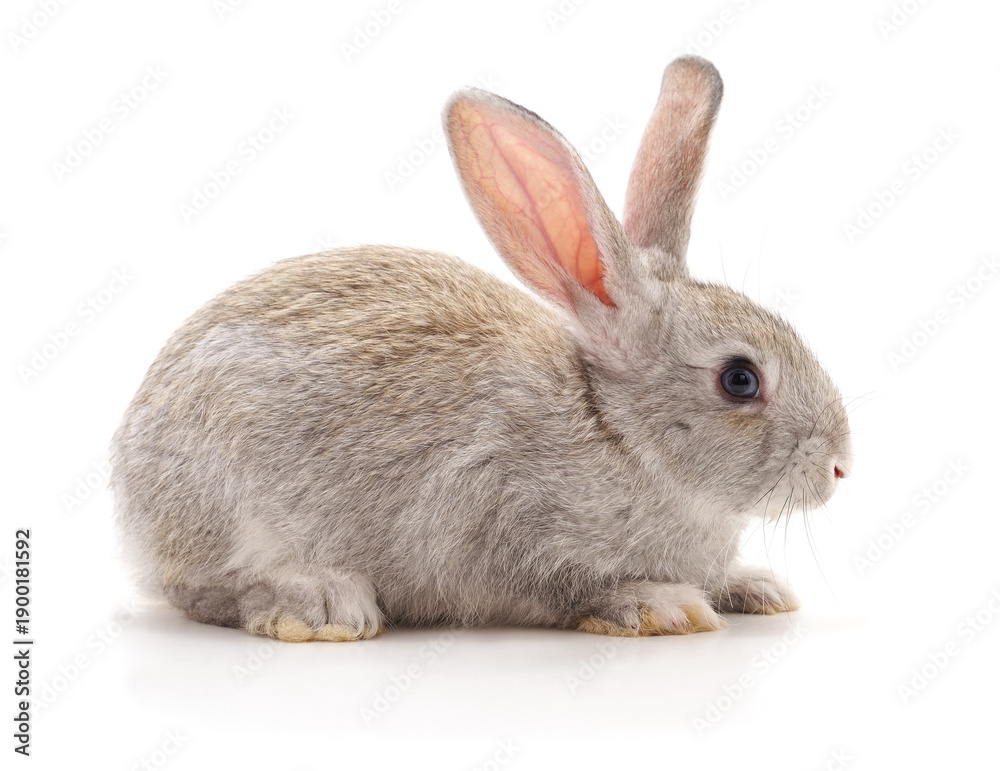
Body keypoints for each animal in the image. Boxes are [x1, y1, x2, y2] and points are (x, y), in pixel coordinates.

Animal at [110, 56, 852, 642]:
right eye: (739, 379)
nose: (841, 467)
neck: (617, 431)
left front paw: (759, 587)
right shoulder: (505, 527)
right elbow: (568, 587)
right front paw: (660, 605)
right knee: (208, 590)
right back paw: (322, 603)